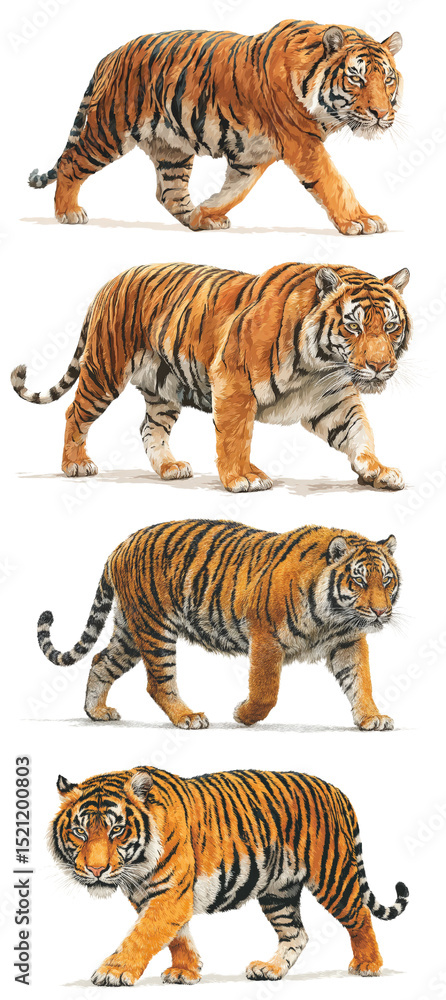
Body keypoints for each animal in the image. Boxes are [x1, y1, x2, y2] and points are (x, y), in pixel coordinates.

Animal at [11, 261, 411, 492]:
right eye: (353, 327)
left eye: (390, 327)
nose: (379, 366)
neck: (320, 366)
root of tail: (109, 283)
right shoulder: (234, 383)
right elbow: (235, 438)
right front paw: (243, 478)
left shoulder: (333, 399)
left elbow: (359, 433)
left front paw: (378, 470)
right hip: (104, 374)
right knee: (75, 413)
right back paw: (75, 465)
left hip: (164, 389)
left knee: (150, 428)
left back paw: (170, 468)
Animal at [28, 21, 402, 234]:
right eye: (356, 78)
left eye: (388, 79)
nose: (381, 114)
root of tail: (111, 55)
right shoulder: (303, 143)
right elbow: (334, 182)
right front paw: (361, 221)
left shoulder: (253, 155)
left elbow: (236, 190)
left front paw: (205, 213)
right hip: (108, 132)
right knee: (70, 163)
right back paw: (68, 213)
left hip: (172, 148)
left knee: (169, 193)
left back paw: (194, 221)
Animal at [37, 519, 400, 732]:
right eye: (359, 580)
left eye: (386, 580)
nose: (380, 612)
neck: (332, 618)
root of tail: (120, 546)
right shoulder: (266, 637)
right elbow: (266, 691)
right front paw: (243, 715)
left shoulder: (347, 641)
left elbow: (360, 681)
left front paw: (371, 718)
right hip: (155, 628)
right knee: (158, 682)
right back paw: (187, 717)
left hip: (130, 631)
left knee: (101, 661)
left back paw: (96, 712)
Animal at [50, 765, 409, 985]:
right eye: (80, 831)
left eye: (117, 830)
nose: (96, 870)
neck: (135, 870)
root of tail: (335, 790)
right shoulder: (154, 897)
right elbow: (177, 936)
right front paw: (186, 971)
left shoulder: (169, 894)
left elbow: (141, 936)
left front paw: (113, 972)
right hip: (278, 892)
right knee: (296, 934)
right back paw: (270, 969)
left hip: (333, 876)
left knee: (359, 916)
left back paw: (368, 965)